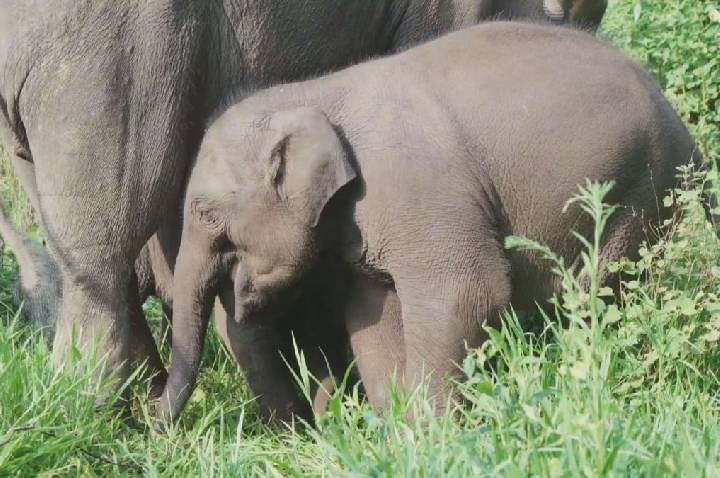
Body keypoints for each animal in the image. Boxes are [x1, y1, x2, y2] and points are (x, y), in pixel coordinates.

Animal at [157, 20, 701, 422]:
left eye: (206, 214)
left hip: (644, 190)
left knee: (610, 293)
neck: (313, 93)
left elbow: (465, 293)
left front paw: (433, 433)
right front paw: (400, 431)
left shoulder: (422, 190)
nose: (158, 429)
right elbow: (372, 315)